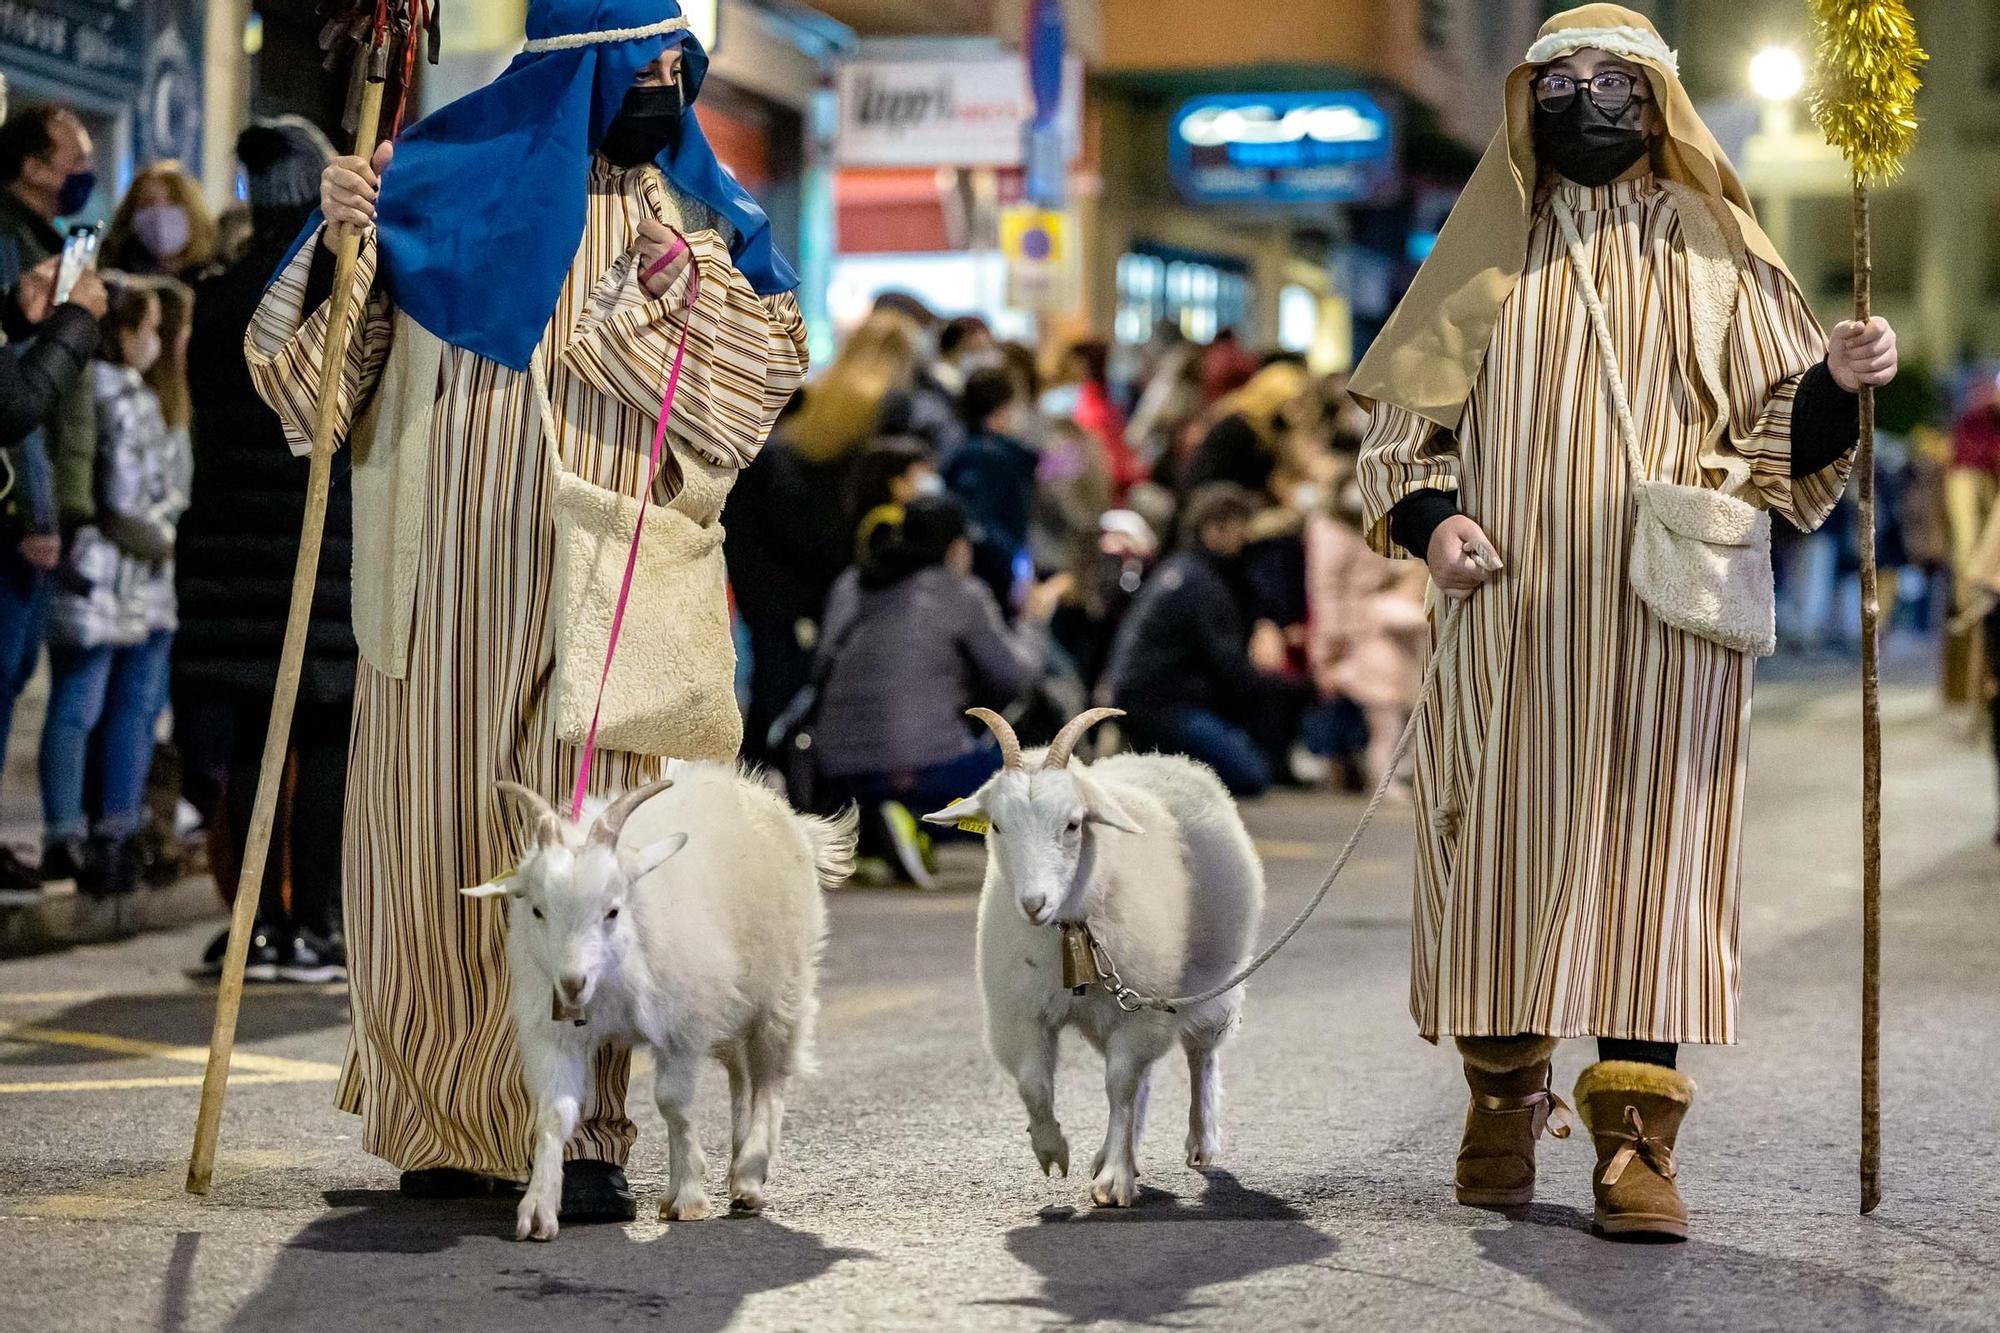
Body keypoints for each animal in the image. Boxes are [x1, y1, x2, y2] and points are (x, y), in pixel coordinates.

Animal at [464, 764, 856, 1240]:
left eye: (612, 911)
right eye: (538, 910)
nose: (572, 983)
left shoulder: (683, 1026)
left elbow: (672, 1102)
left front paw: (686, 1195)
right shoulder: (555, 1034)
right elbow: (554, 1114)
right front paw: (538, 1209)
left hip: (783, 986)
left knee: (770, 1075)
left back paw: (749, 1174)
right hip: (731, 1000)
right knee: (741, 1074)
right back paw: (738, 1164)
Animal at [924, 704, 1264, 1200]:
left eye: (1072, 824)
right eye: (998, 826)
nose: (1033, 903)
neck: (1069, 929)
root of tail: (1163, 757)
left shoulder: (1141, 1012)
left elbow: (1119, 1086)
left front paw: (1115, 1180)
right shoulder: (1021, 1014)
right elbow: (1036, 1086)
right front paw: (1054, 1150)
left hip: (1212, 975)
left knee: (1199, 1053)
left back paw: (1200, 1139)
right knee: (1143, 1078)